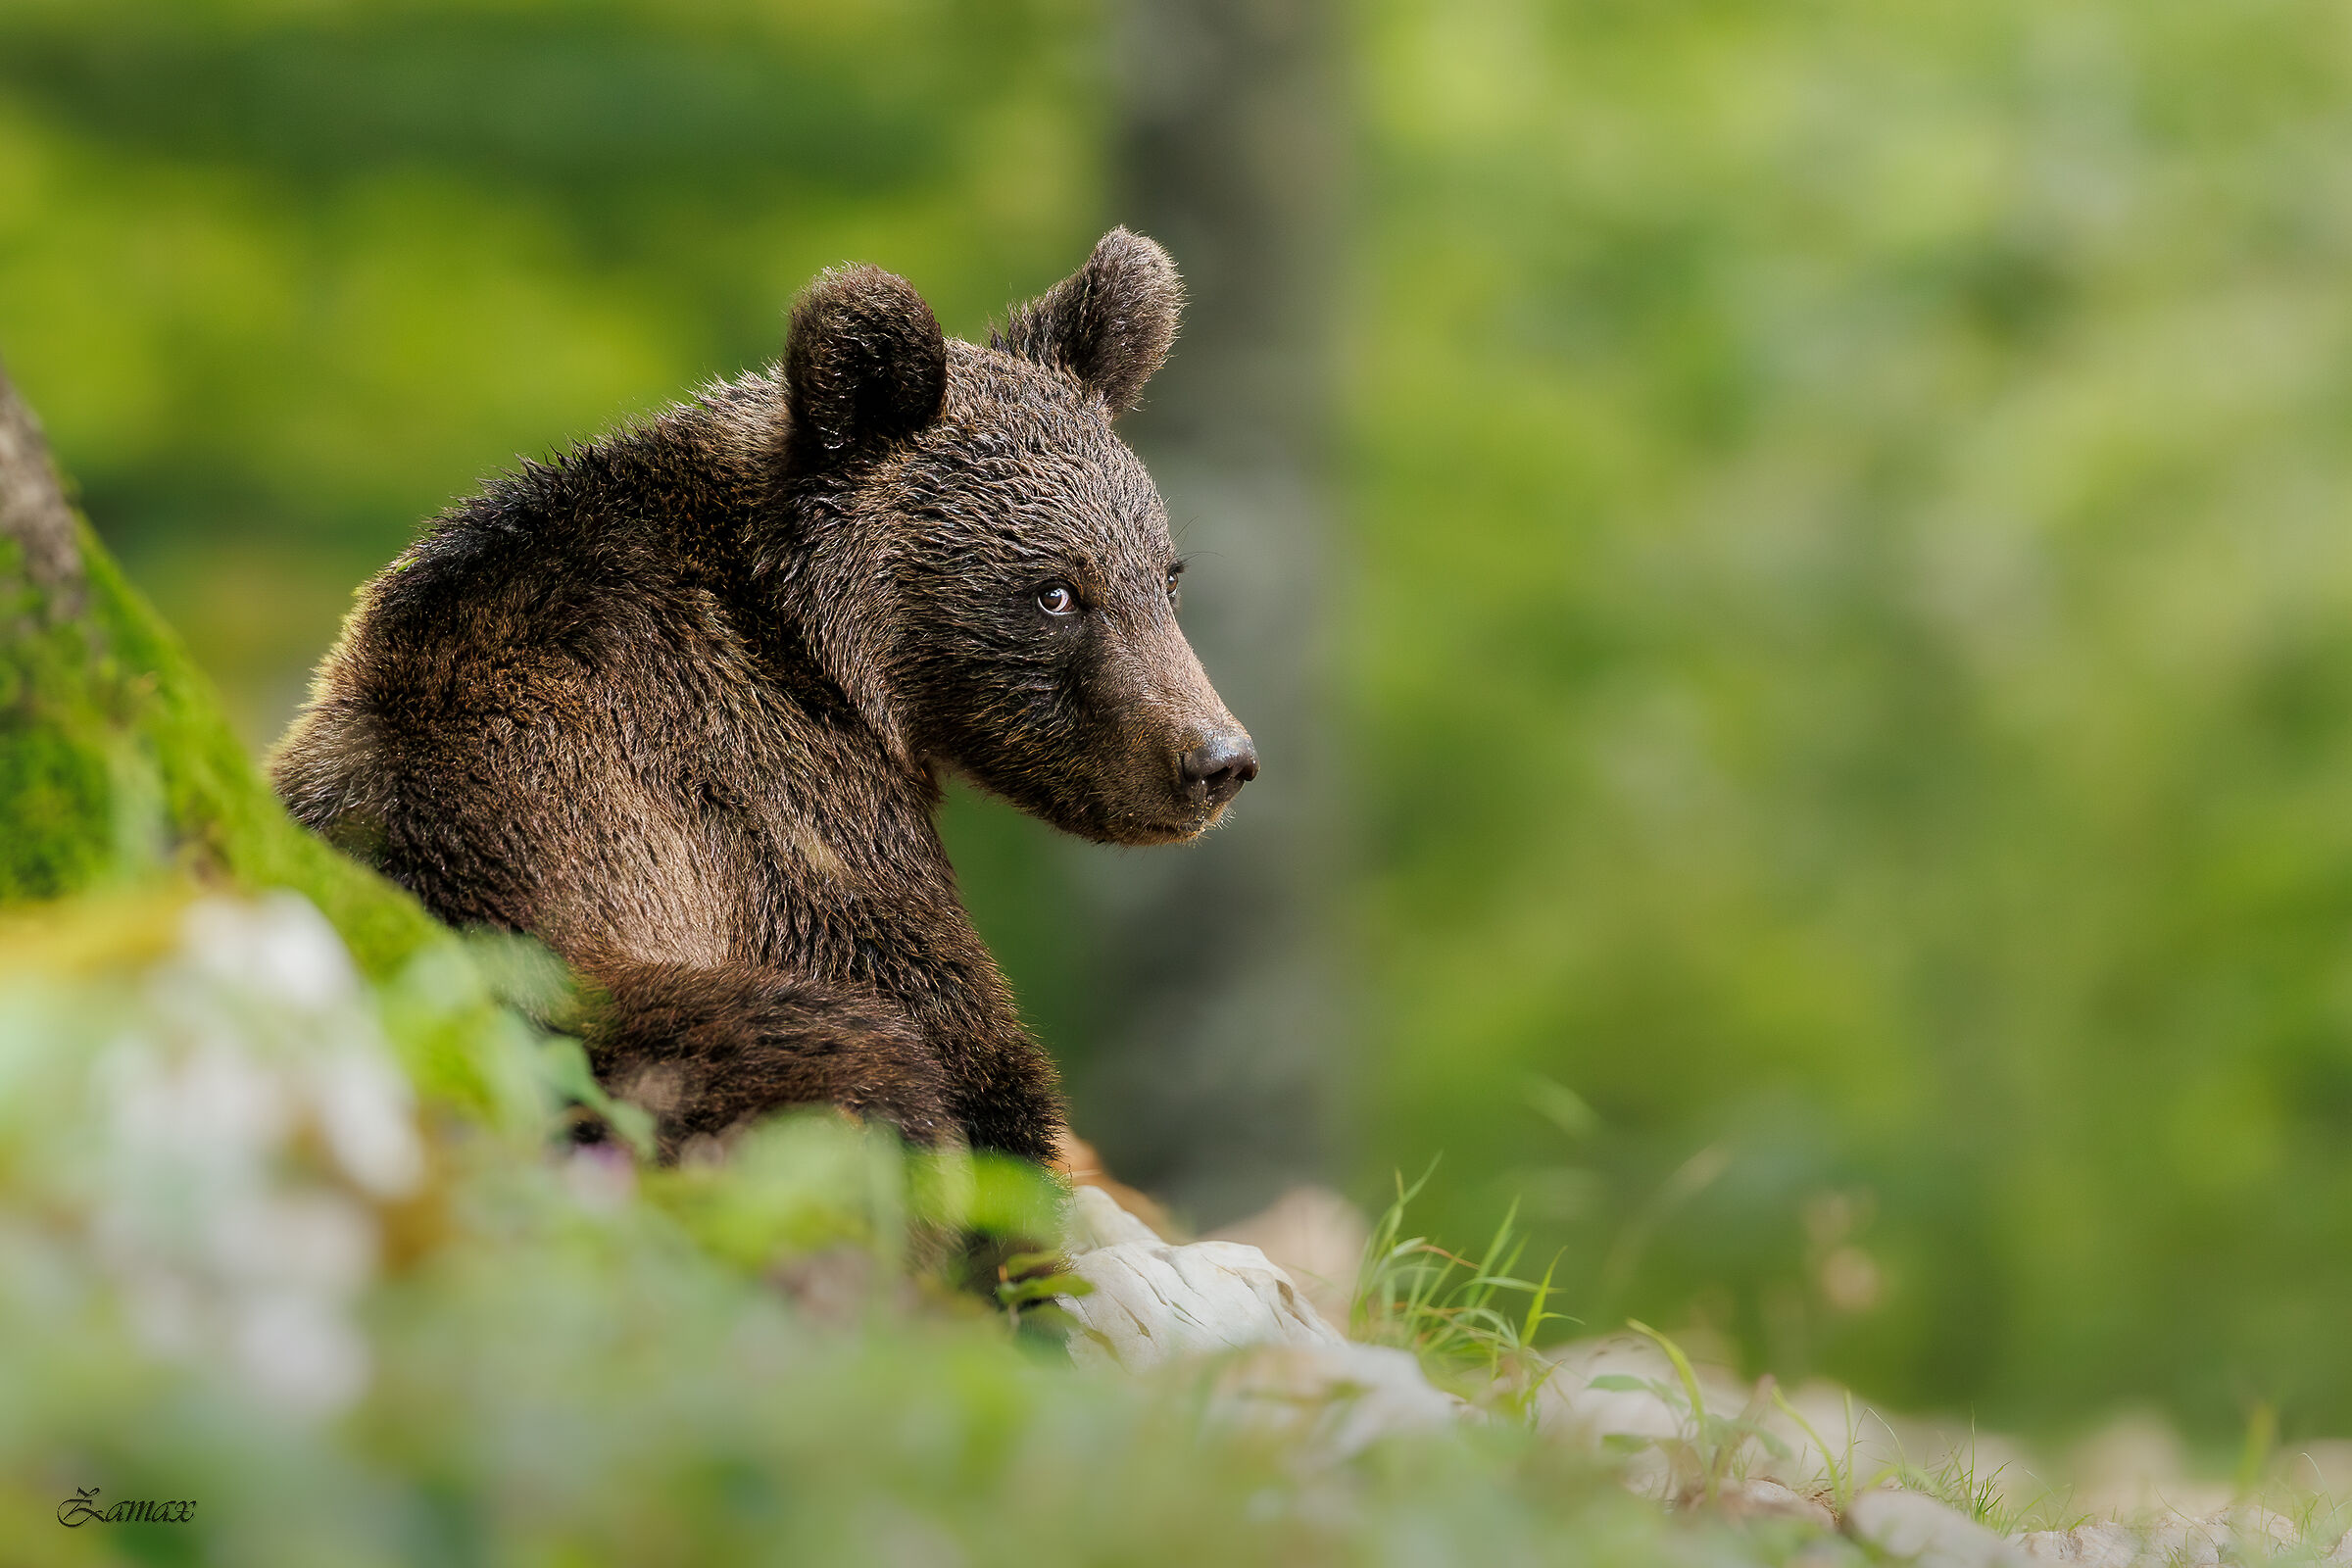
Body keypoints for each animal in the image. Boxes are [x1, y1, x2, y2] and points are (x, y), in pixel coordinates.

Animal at [269, 228, 1255, 1166]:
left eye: (1166, 576)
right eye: (1055, 591)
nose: (1217, 757)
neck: (819, 645)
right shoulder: (773, 812)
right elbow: (964, 1050)